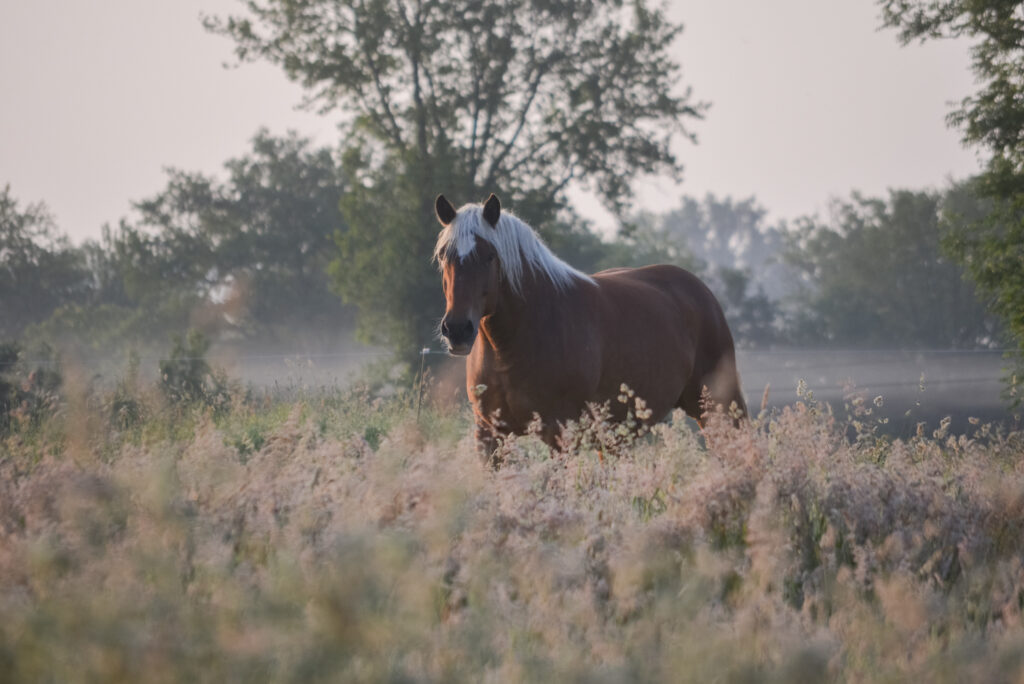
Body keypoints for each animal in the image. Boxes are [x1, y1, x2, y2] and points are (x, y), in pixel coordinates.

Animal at [433, 193, 747, 456]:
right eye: (443, 255)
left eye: (489, 256)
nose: (458, 329)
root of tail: (699, 289)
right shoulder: (489, 435)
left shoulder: (559, 434)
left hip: (718, 407)